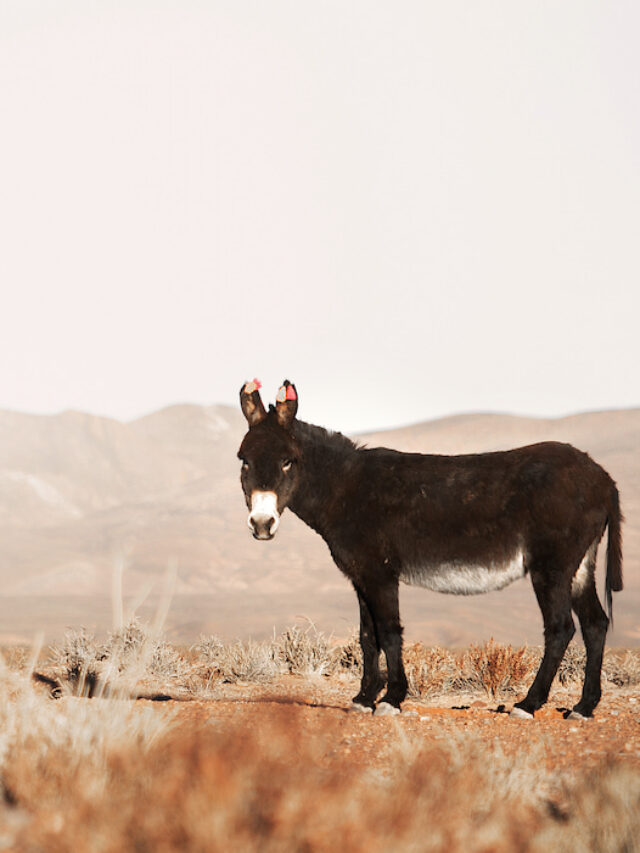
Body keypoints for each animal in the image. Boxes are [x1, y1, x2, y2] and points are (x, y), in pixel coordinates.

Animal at [237, 379, 623, 719]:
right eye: (244, 460)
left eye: (288, 460)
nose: (261, 525)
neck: (345, 489)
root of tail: (603, 477)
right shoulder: (360, 574)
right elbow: (367, 636)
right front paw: (363, 698)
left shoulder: (380, 574)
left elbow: (389, 631)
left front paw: (391, 699)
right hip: (580, 565)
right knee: (595, 624)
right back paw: (584, 707)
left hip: (552, 566)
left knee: (560, 628)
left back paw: (529, 704)